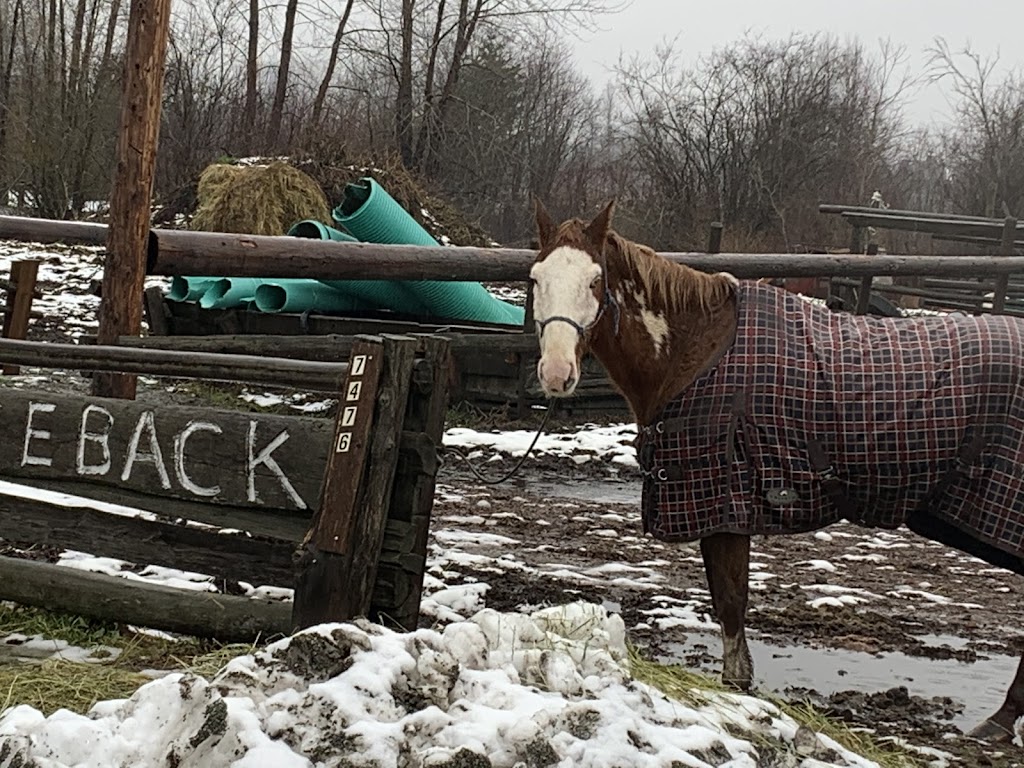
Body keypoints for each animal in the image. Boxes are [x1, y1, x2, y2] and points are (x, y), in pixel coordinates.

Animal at [532, 199, 1024, 745]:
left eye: (595, 281)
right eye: (535, 278)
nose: (556, 374)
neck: (696, 352)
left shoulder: (723, 504)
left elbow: (730, 602)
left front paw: (738, 689)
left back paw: (1000, 721)